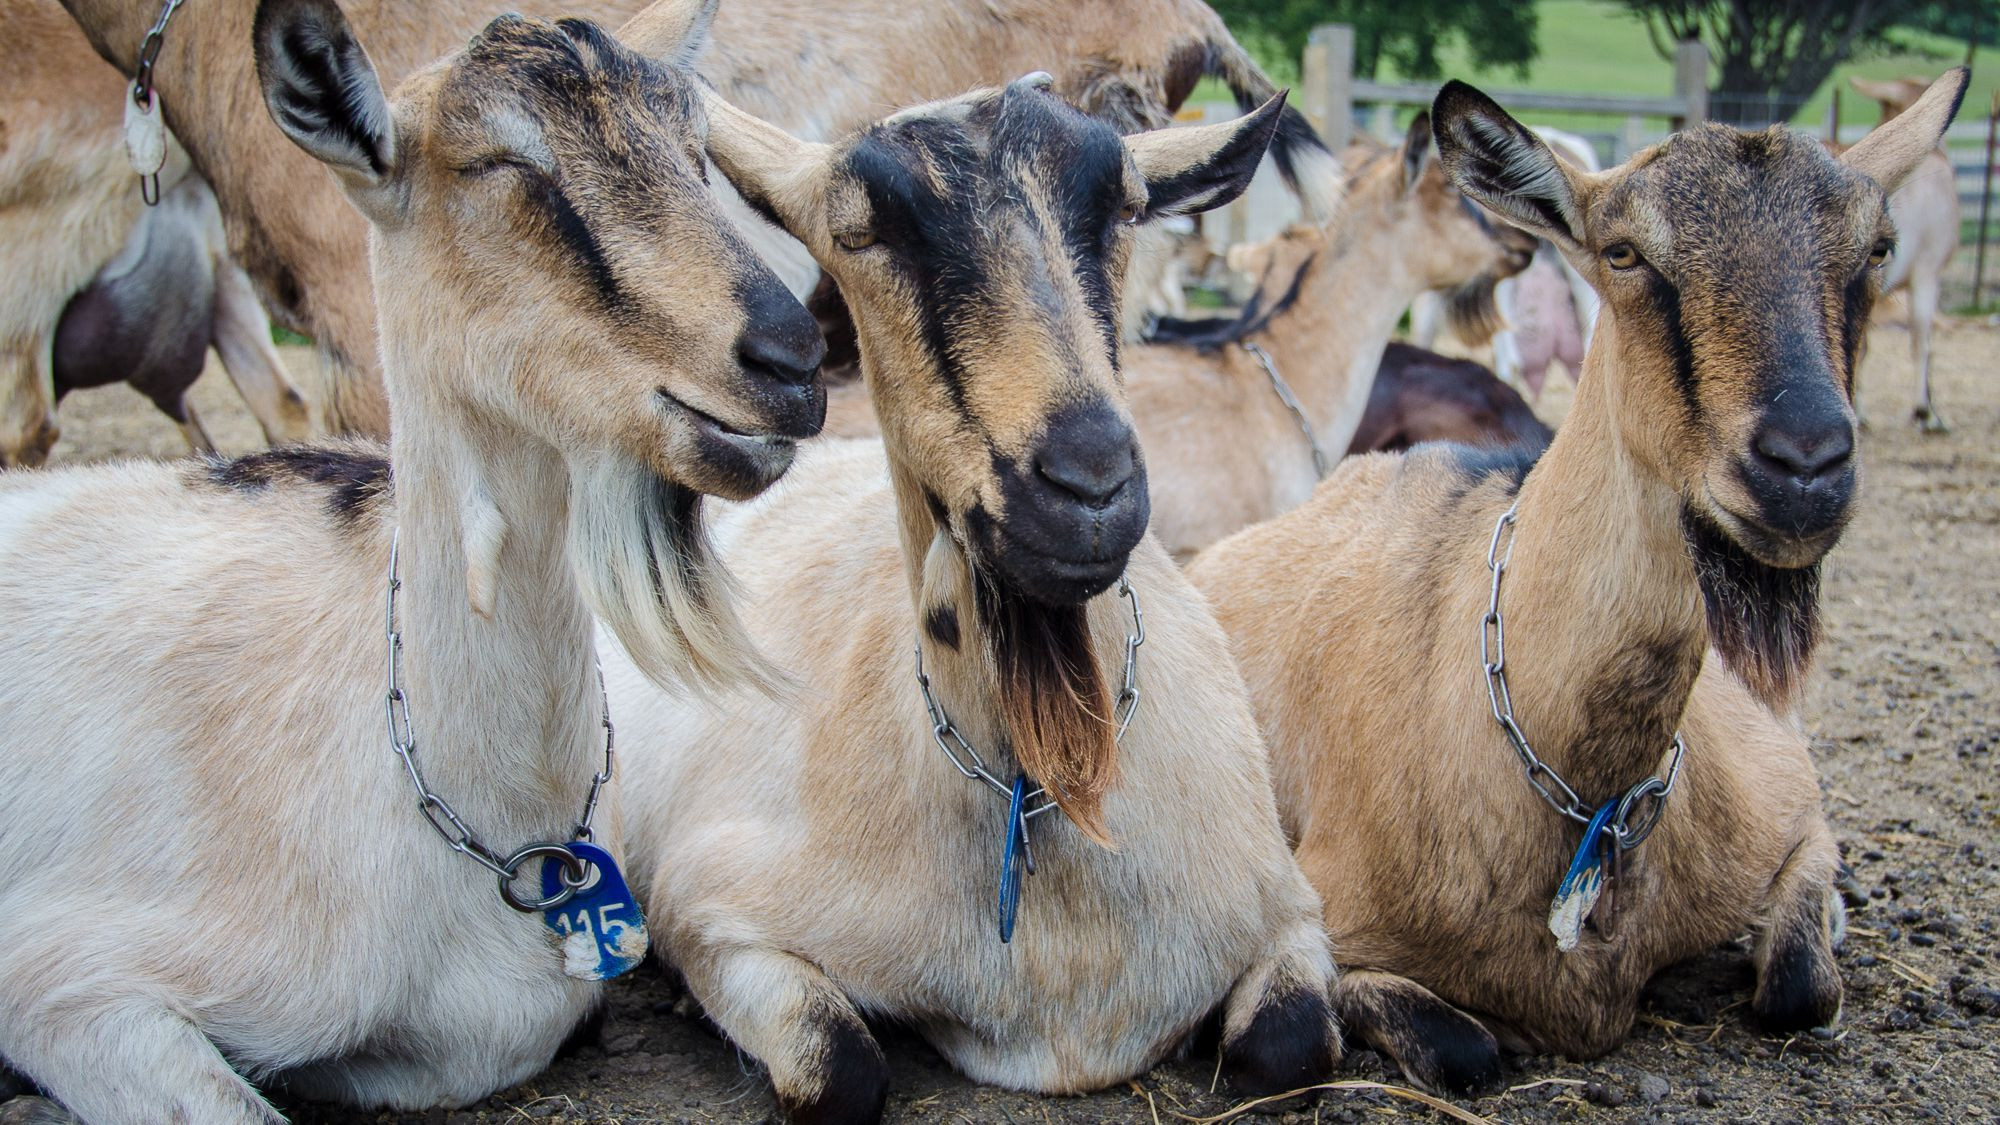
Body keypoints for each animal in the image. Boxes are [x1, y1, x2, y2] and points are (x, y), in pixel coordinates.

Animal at [600, 74, 1336, 1112]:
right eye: (859, 232)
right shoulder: (709, 903)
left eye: (1126, 208)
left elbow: (1292, 1044)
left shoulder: (1288, 909)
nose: (1087, 485)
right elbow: (840, 1068)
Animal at [1184, 70, 1968, 1088]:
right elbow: (1438, 1044)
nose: (1804, 465)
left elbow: (1803, 979)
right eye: (1624, 252)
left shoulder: (1785, 791)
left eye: (1876, 247)